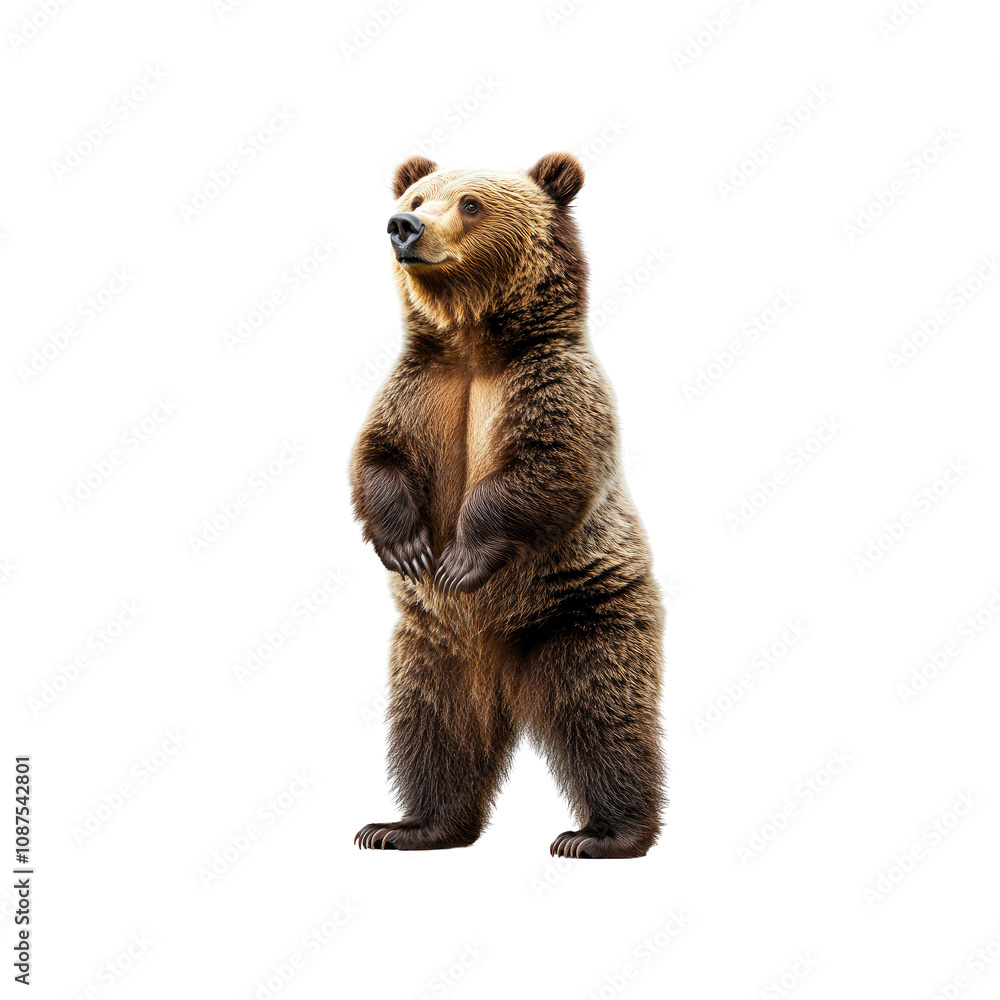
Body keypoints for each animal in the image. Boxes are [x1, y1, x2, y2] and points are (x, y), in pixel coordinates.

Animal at [351, 152, 665, 858]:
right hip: (433, 646)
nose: (403, 227)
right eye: (417, 195)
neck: (474, 344)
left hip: (579, 614)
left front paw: (461, 559)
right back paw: (408, 826)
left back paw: (605, 834)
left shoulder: (551, 385)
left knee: (603, 713)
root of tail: (507, 685)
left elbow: (540, 469)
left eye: (471, 204)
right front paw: (407, 547)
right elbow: (379, 460)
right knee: (431, 728)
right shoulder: (419, 388)